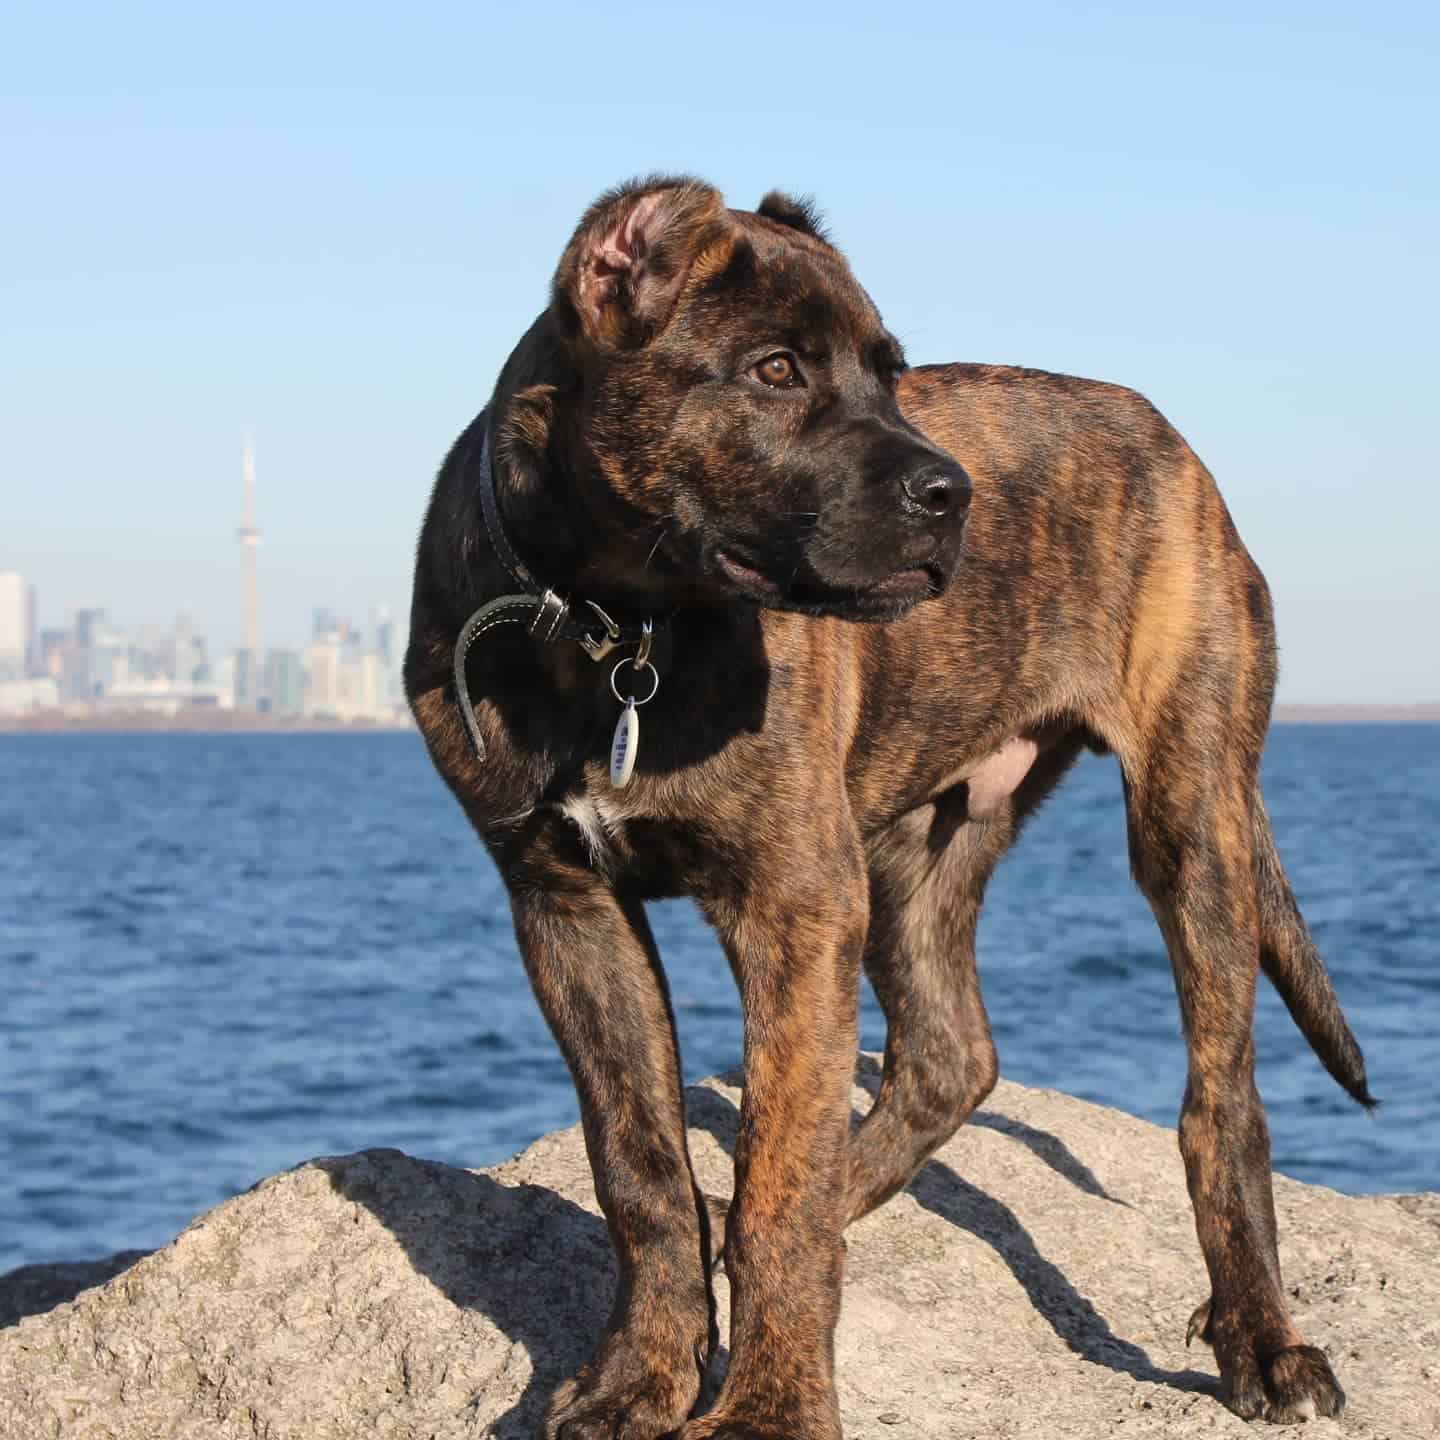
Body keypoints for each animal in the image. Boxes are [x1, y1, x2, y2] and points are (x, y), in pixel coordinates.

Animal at [406, 174, 1370, 1434]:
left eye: (890, 373)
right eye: (775, 370)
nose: (949, 492)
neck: (611, 631)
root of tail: (1169, 437)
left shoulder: (794, 900)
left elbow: (778, 1179)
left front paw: (768, 1405)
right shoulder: (564, 904)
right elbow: (643, 1166)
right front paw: (642, 1373)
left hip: (1189, 812)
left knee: (1221, 1099)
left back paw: (1262, 1335)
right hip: (920, 842)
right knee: (950, 1055)